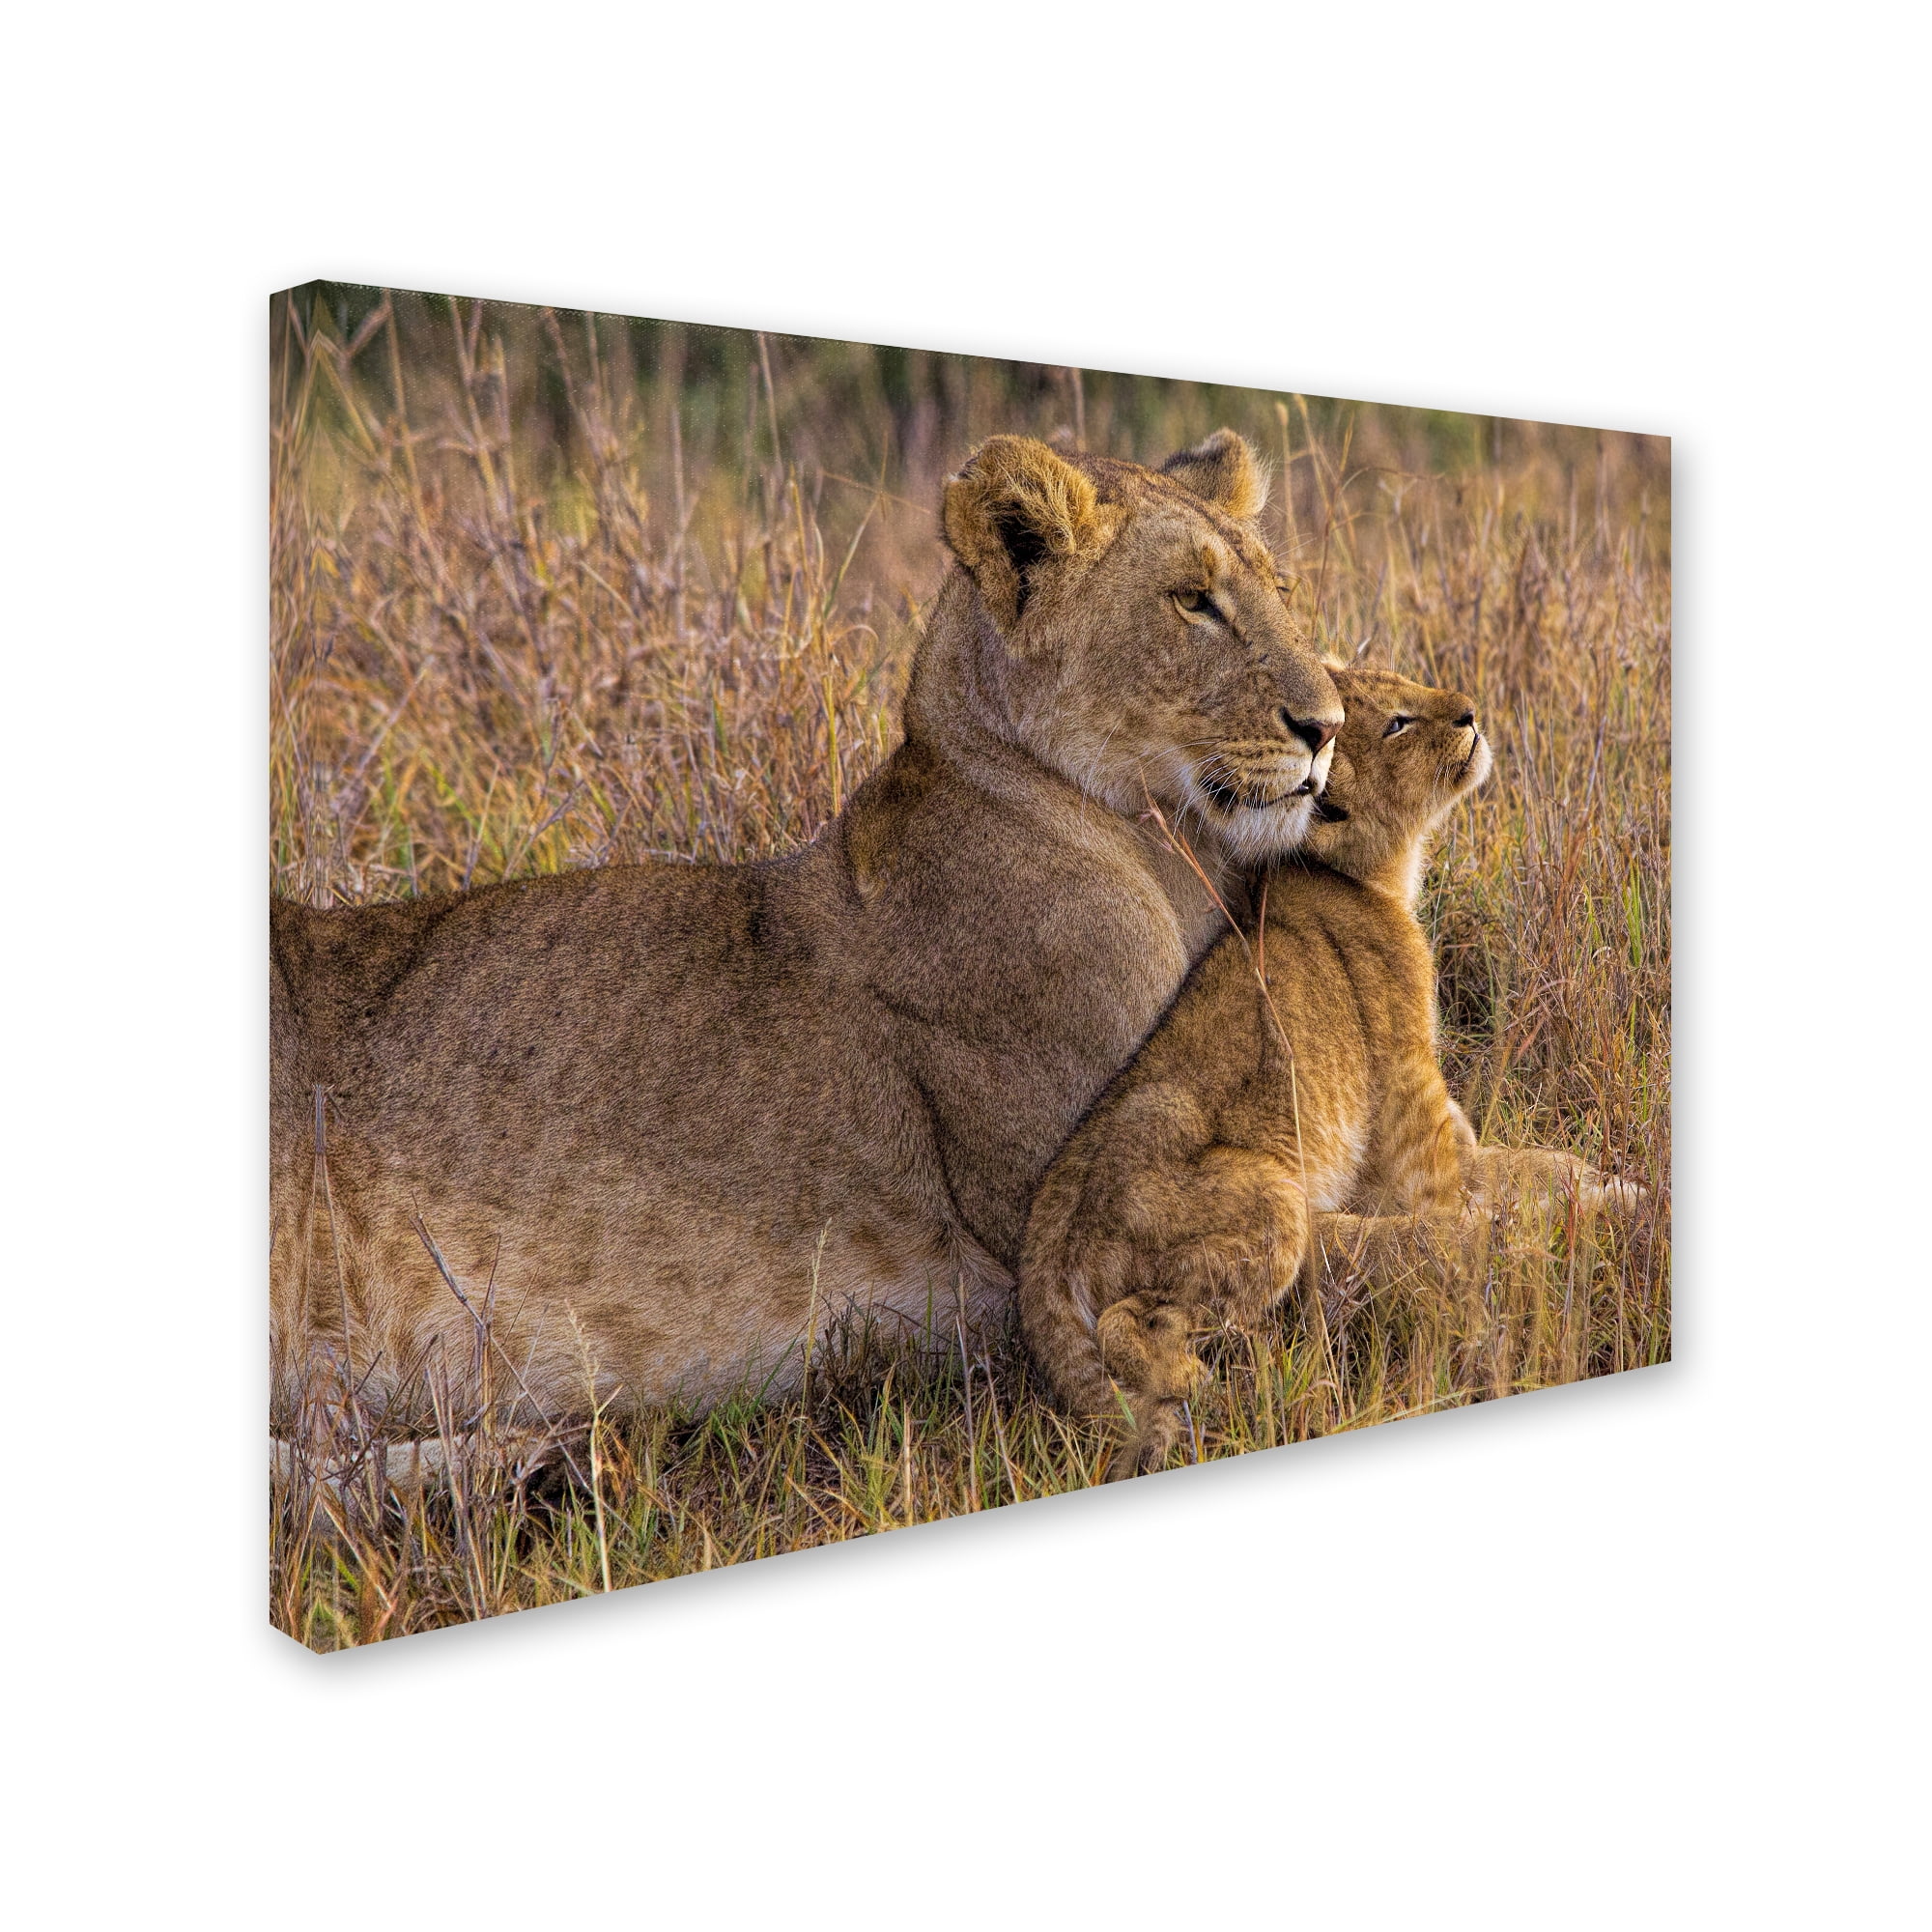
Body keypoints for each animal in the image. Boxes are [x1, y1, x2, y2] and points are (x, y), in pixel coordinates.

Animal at [271, 429, 1345, 1469]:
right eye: (1191, 600)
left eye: (1280, 589)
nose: (1328, 726)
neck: (1169, 853)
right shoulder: (1089, 1229)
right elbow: (1352, 1248)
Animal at [1017, 657, 1640, 1475]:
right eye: (1399, 723)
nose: (1470, 713)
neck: (1374, 875)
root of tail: (1041, 1245)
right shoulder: (1415, 1135)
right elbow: (1467, 1213)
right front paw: (1546, 1232)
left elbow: (1541, 1163)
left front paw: (1614, 1185)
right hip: (1273, 1199)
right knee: (1134, 1321)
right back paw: (1202, 1383)